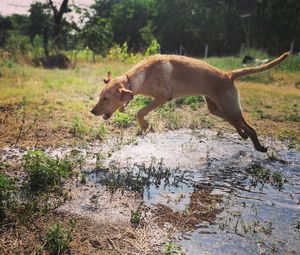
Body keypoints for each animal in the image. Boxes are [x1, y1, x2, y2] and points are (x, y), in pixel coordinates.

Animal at [90, 51, 290, 151]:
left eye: (105, 98)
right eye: (100, 96)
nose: (92, 111)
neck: (137, 77)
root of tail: (228, 75)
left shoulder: (163, 97)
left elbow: (140, 111)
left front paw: (144, 125)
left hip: (229, 108)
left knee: (251, 128)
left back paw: (259, 146)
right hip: (218, 109)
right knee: (239, 124)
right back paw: (242, 135)